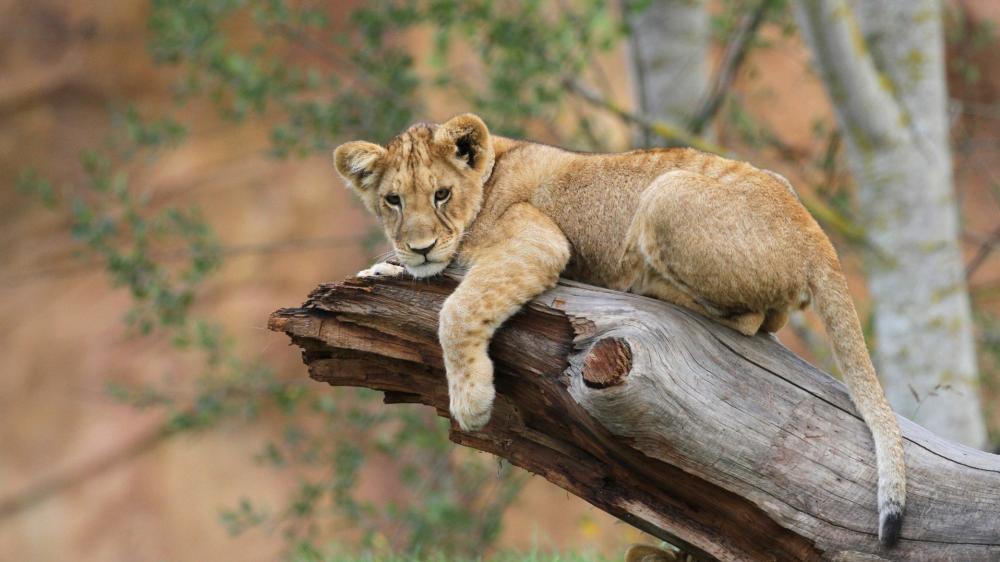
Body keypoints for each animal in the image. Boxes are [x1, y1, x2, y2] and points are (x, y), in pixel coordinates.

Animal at [333, 113, 905, 545]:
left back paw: (649, 287)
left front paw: (471, 403)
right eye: (393, 201)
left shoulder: (538, 244)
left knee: (751, 320)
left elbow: (457, 310)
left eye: (442, 194)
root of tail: (815, 234)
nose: (421, 247)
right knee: (773, 318)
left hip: (666, 193)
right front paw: (384, 268)